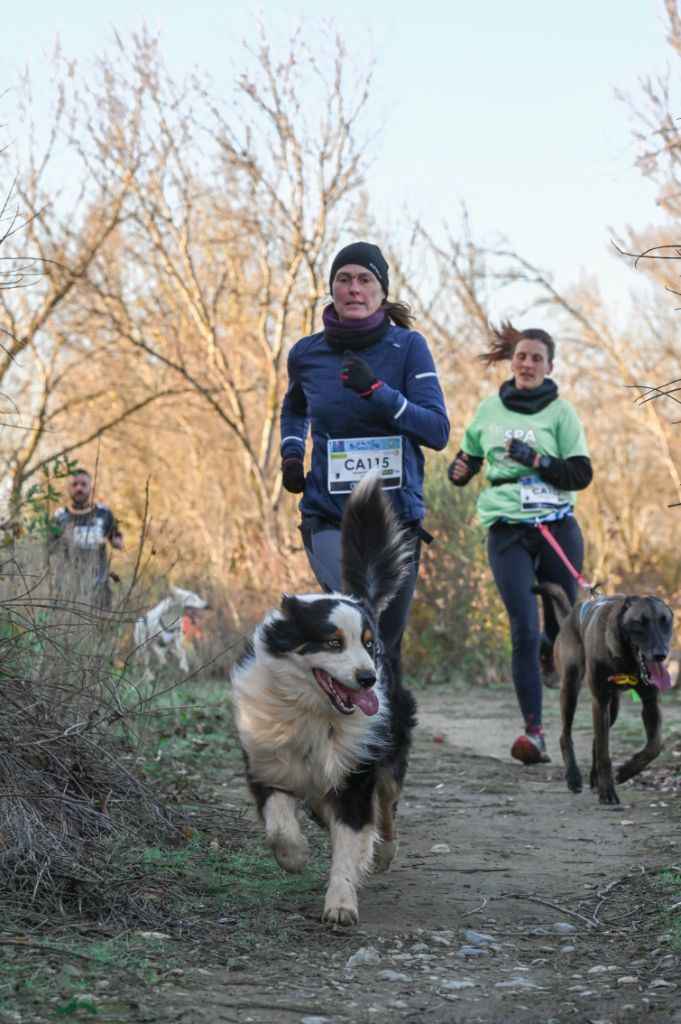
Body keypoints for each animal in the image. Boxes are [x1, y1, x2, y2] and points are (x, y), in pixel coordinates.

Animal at [532, 589, 671, 802]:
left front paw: (626, 771)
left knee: (596, 741)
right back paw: (573, 776)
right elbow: (605, 754)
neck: (628, 660)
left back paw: (594, 777)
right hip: (571, 689)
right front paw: (608, 791)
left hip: (612, 708)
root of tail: (571, 616)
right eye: (640, 622)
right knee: (567, 736)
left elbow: (655, 746)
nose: (660, 654)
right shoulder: (600, 700)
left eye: (666, 622)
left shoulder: (650, 702)